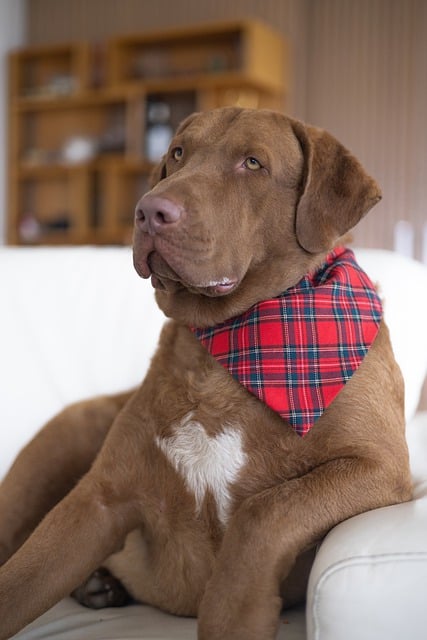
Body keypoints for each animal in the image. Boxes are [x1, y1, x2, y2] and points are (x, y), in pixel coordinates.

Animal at [0, 107, 414, 636]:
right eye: (178, 153)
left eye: (253, 163)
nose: (148, 211)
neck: (222, 353)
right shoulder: (99, 499)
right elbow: (19, 584)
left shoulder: (380, 467)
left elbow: (266, 510)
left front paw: (235, 612)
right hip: (61, 442)